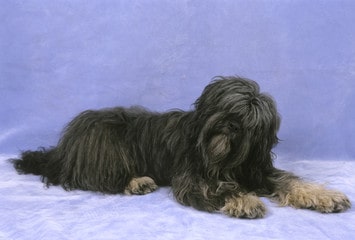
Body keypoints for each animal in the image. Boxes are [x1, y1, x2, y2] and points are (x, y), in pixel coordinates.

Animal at [9, 76, 352, 218]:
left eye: (251, 120)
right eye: (231, 108)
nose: (232, 124)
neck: (221, 159)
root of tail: (62, 148)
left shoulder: (254, 169)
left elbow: (289, 180)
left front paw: (326, 196)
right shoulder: (191, 176)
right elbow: (216, 187)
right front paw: (243, 200)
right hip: (105, 142)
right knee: (94, 178)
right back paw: (137, 181)